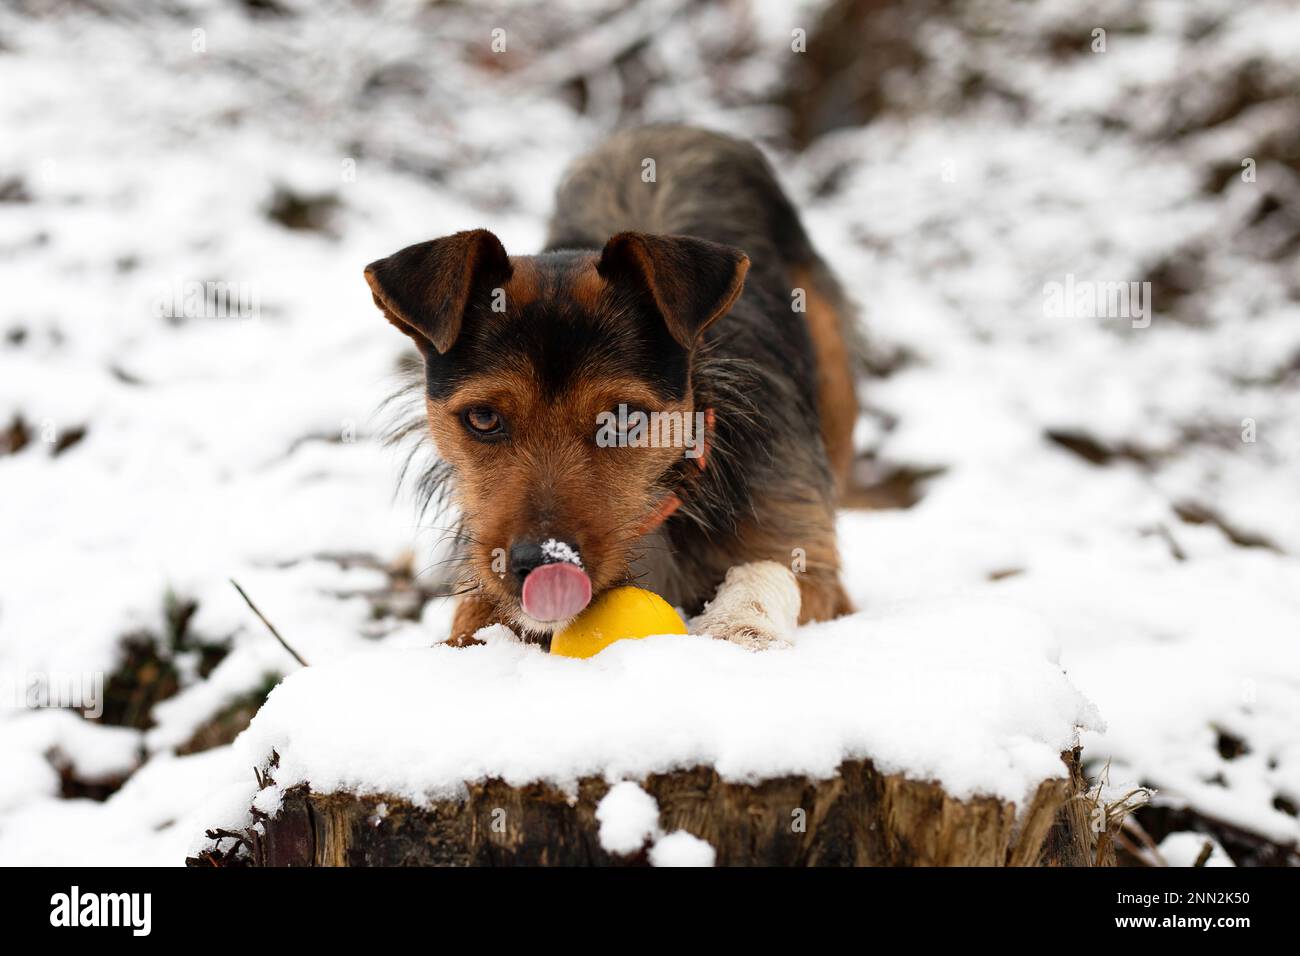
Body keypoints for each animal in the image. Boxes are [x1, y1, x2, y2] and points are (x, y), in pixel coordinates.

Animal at [361, 125, 857, 650]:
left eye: (622, 419)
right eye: (483, 418)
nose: (544, 564)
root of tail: (673, 127)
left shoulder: (806, 551)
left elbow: (769, 570)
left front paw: (739, 626)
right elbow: (477, 613)